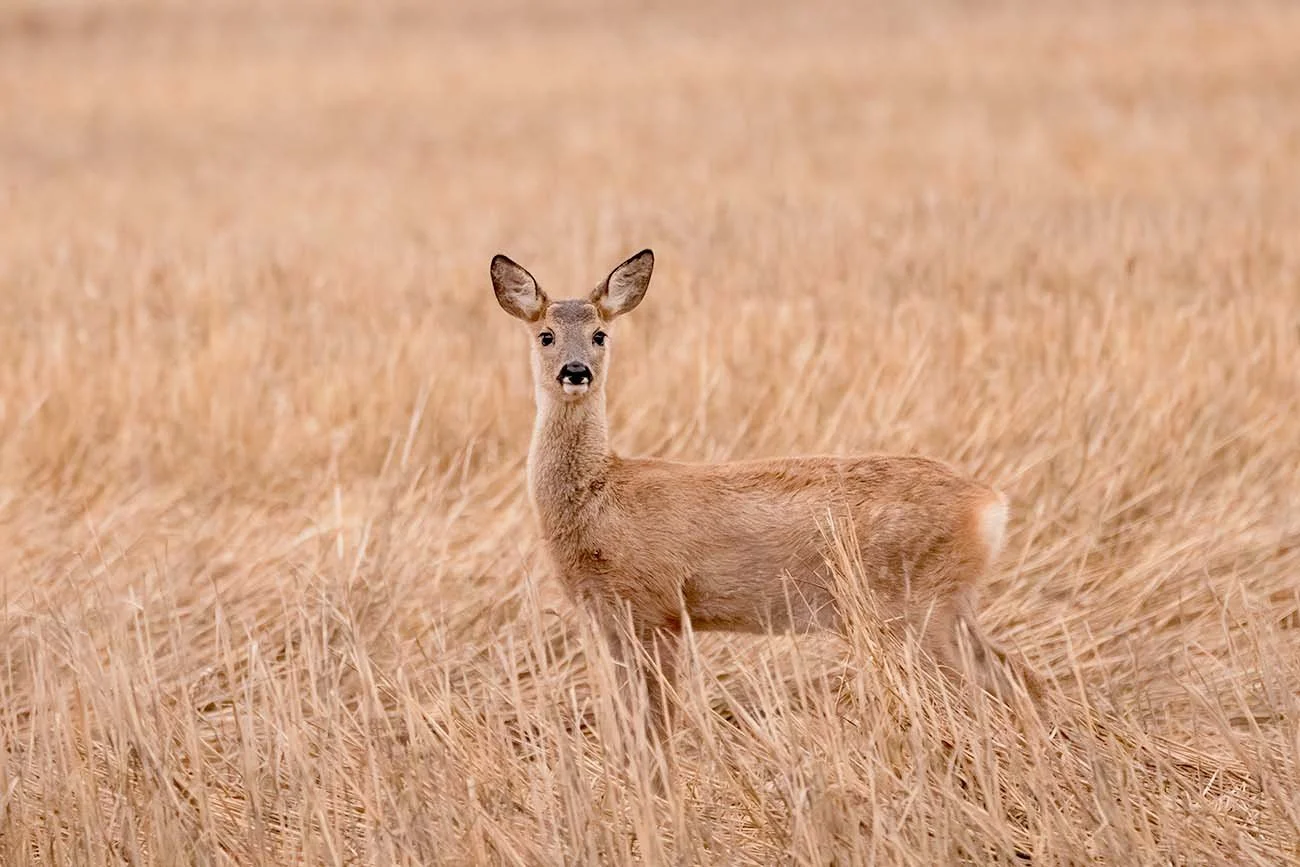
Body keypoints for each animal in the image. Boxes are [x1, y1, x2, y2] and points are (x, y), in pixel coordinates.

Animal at [491, 249, 1042, 743]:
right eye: (546, 335)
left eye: (600, 334)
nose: (575, 371)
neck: (601, 495)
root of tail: (991, 505)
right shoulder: (612, 620)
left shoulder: (658, 607)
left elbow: (658, 726)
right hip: (948, 603)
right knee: (1018, 674)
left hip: (917, 603)